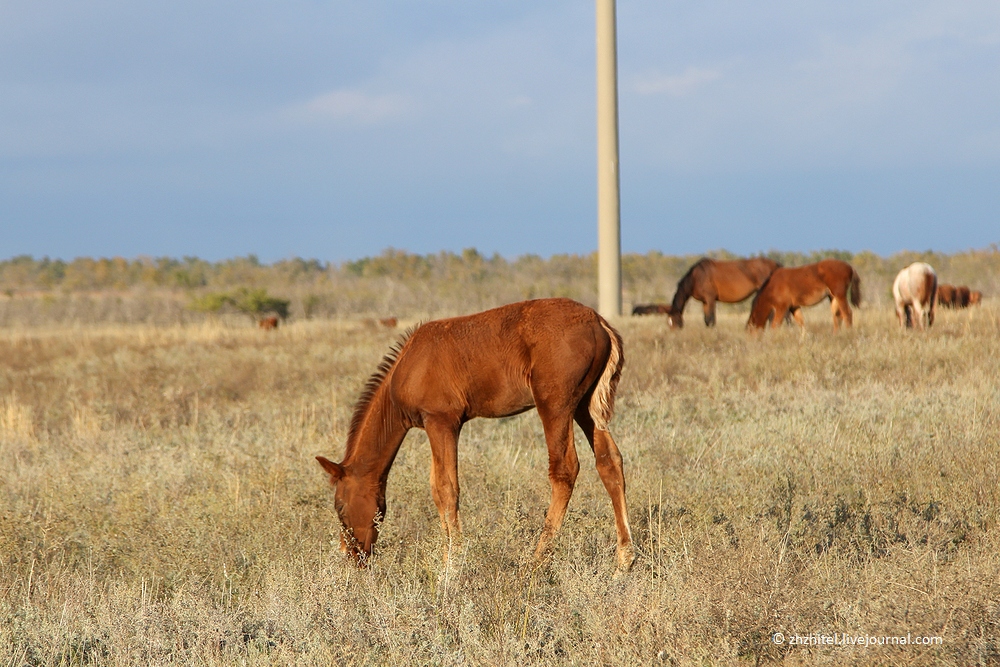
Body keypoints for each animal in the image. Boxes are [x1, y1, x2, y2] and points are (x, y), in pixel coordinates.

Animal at [316, 298, 632, 576]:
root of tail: (599, 323)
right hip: (585, 407)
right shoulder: (438, 426)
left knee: (564, 469)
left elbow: (447, 488)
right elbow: (437, 488)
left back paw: (536, 562)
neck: (409, 365)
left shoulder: (441, 421)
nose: (351, 557)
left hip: (555, 405)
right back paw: (624, 562)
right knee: (609, 463)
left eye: (340, 507)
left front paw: (452, 564)